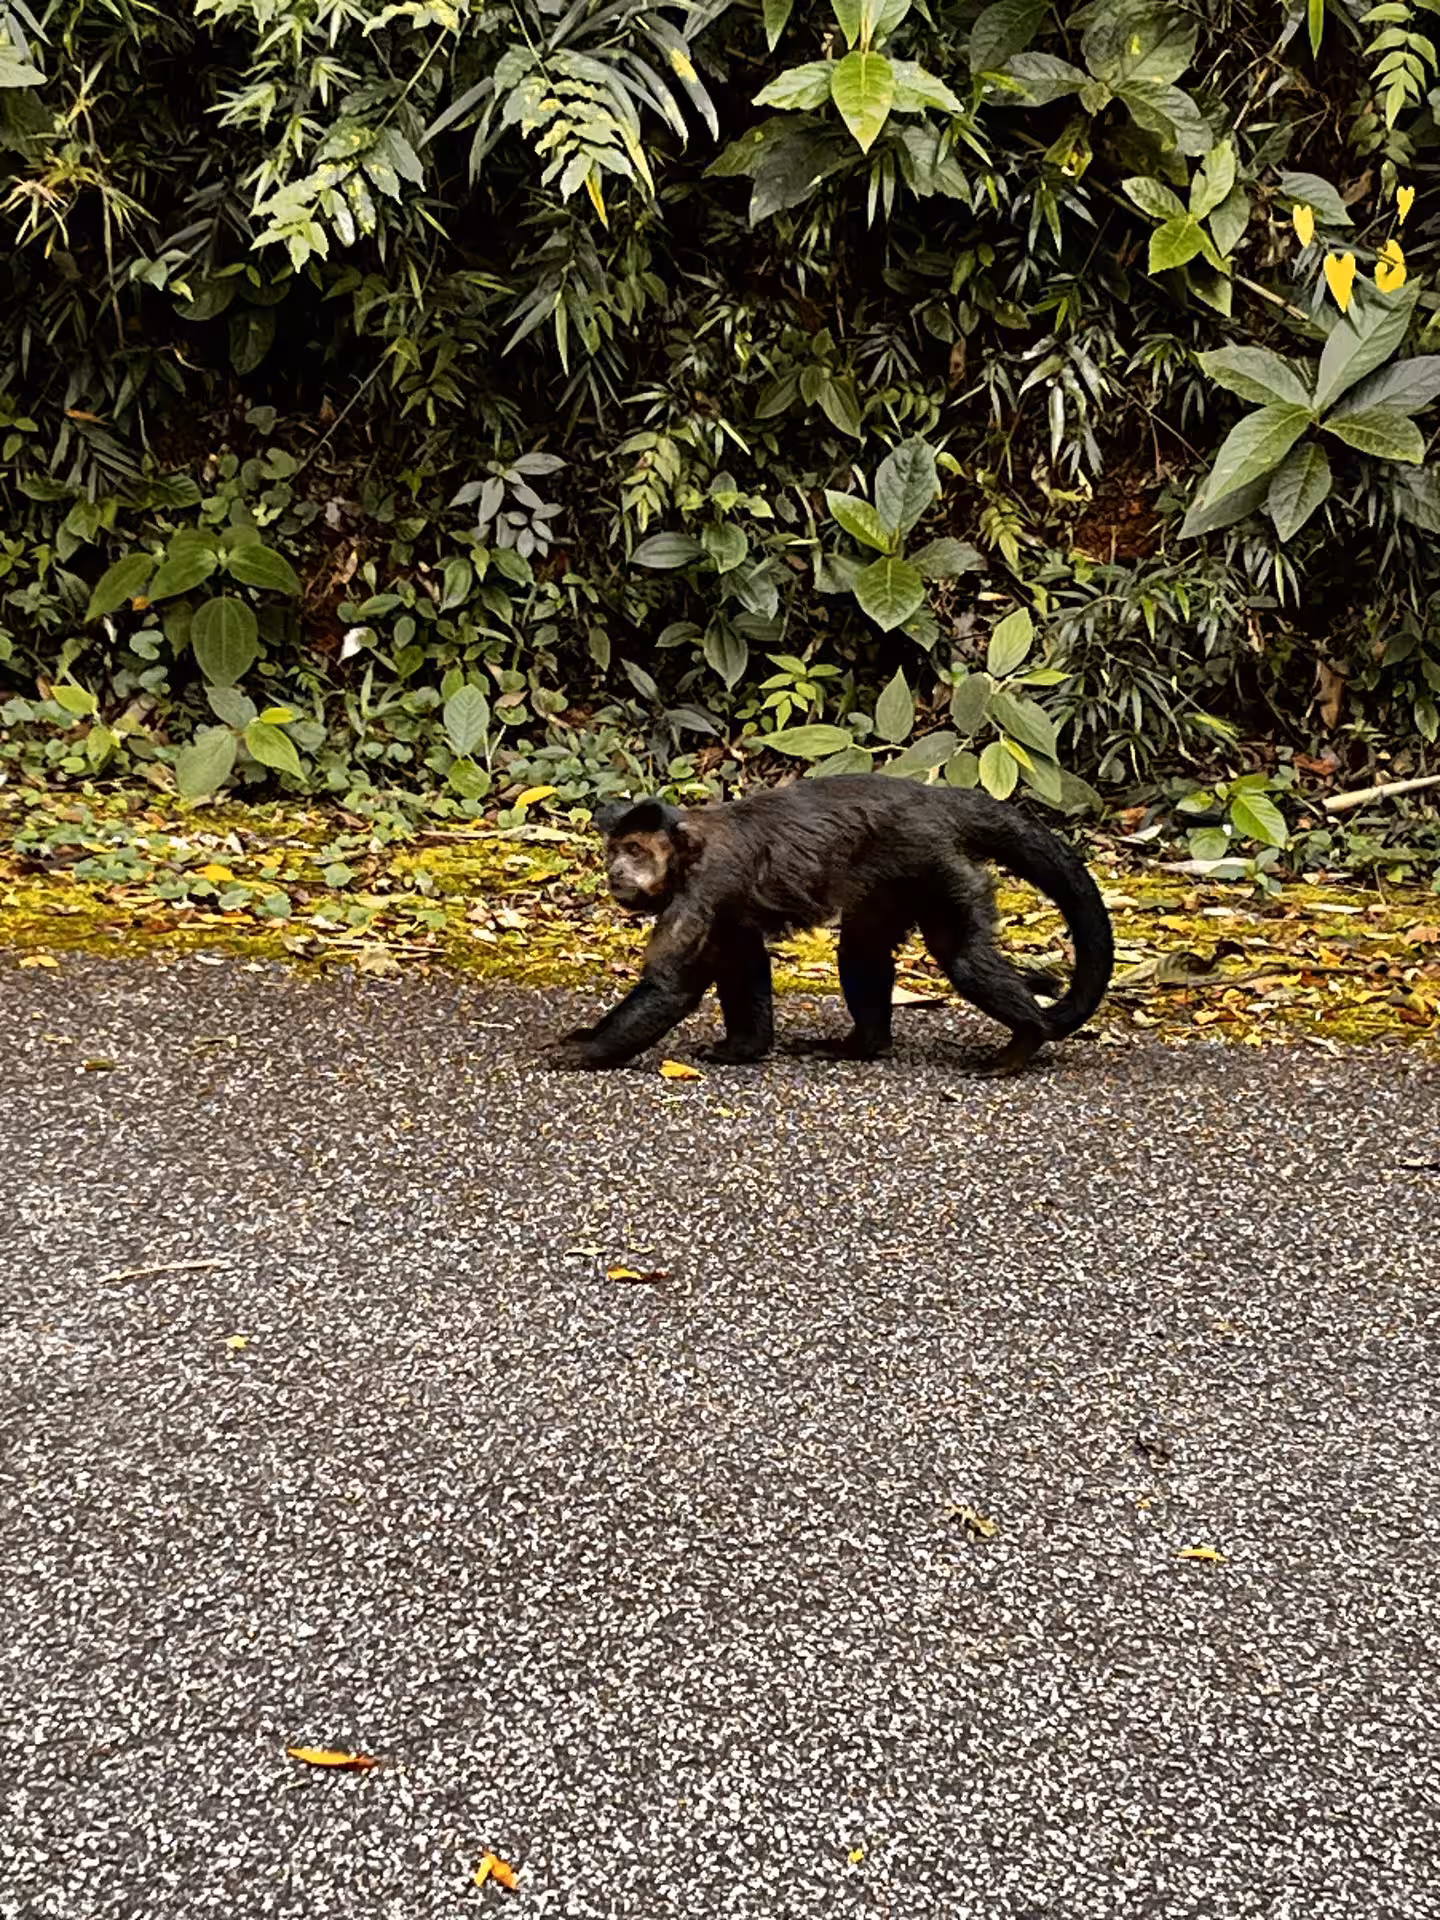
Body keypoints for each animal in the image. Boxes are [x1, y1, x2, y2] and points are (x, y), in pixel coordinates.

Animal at [543, 774, 1115, 1076]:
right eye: (614, 851)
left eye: (637, 852)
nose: (615, 872)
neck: (689, 851)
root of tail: (934, 797)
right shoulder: (720, 905)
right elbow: (743, 961)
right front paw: (742, 1048)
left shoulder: (704, 886)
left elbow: (670, 988)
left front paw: (585, 1050)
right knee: (861, 949)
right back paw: (861, 1045)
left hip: (930, 862)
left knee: (961, 955)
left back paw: (1025, 1040)